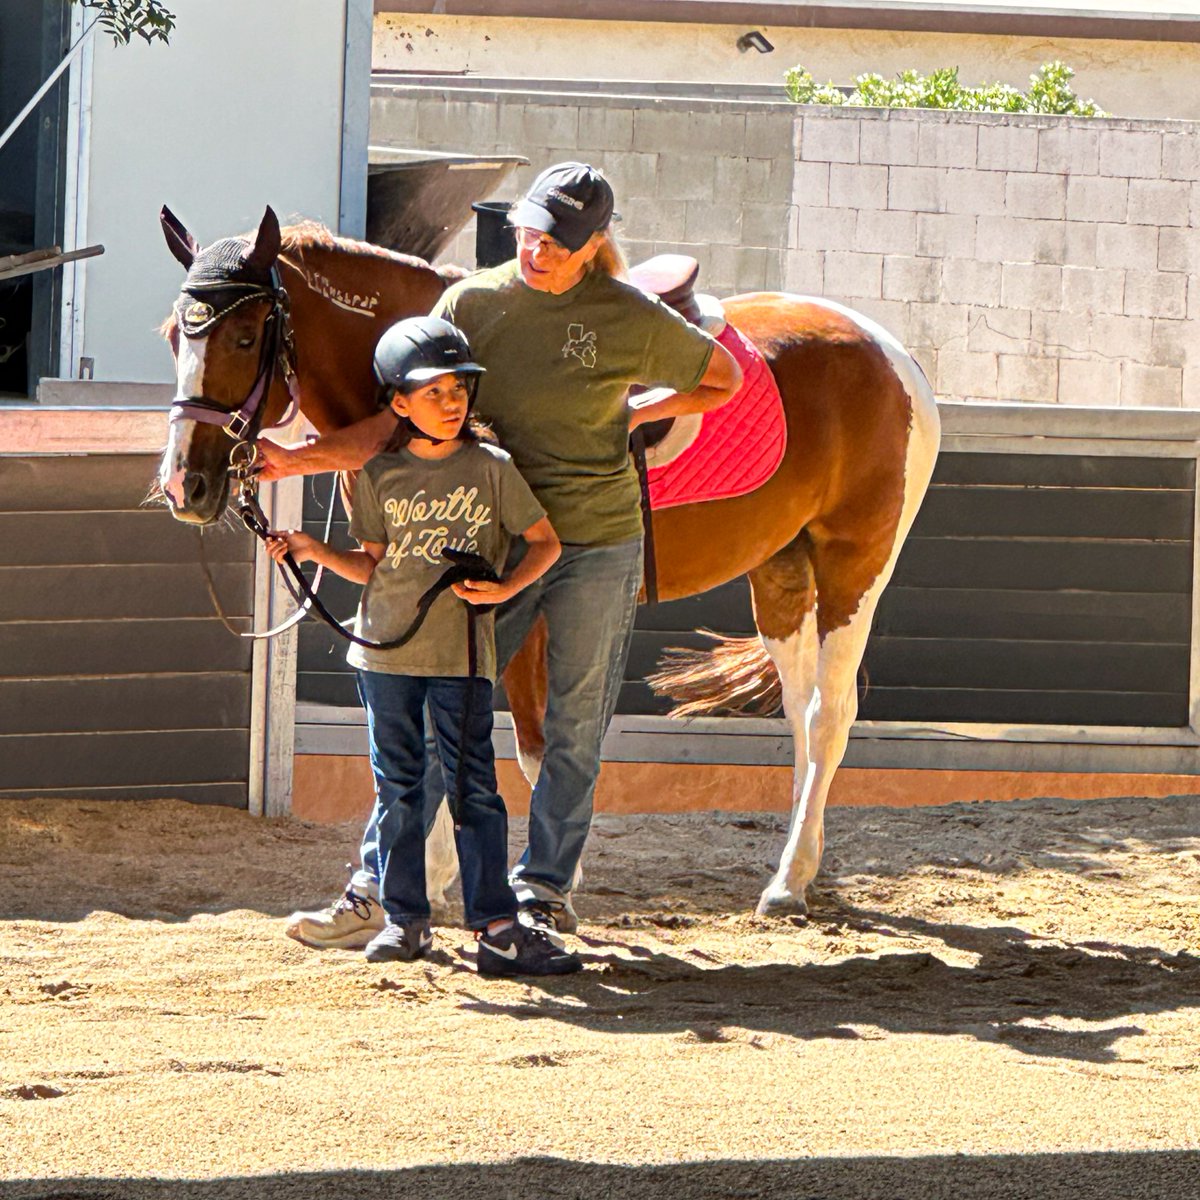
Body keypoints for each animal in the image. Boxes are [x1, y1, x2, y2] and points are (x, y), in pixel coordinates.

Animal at [156, 206, 941, 918]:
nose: (184, 485)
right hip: (780, 572)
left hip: (853, 569)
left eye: (245, 335)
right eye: (172, 335)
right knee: (802, 712)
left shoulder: (502, 598)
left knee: (830, 714)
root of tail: (892, 353)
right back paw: (799, 868)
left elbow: (518, 742)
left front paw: (483, 878)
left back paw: (787, 883)